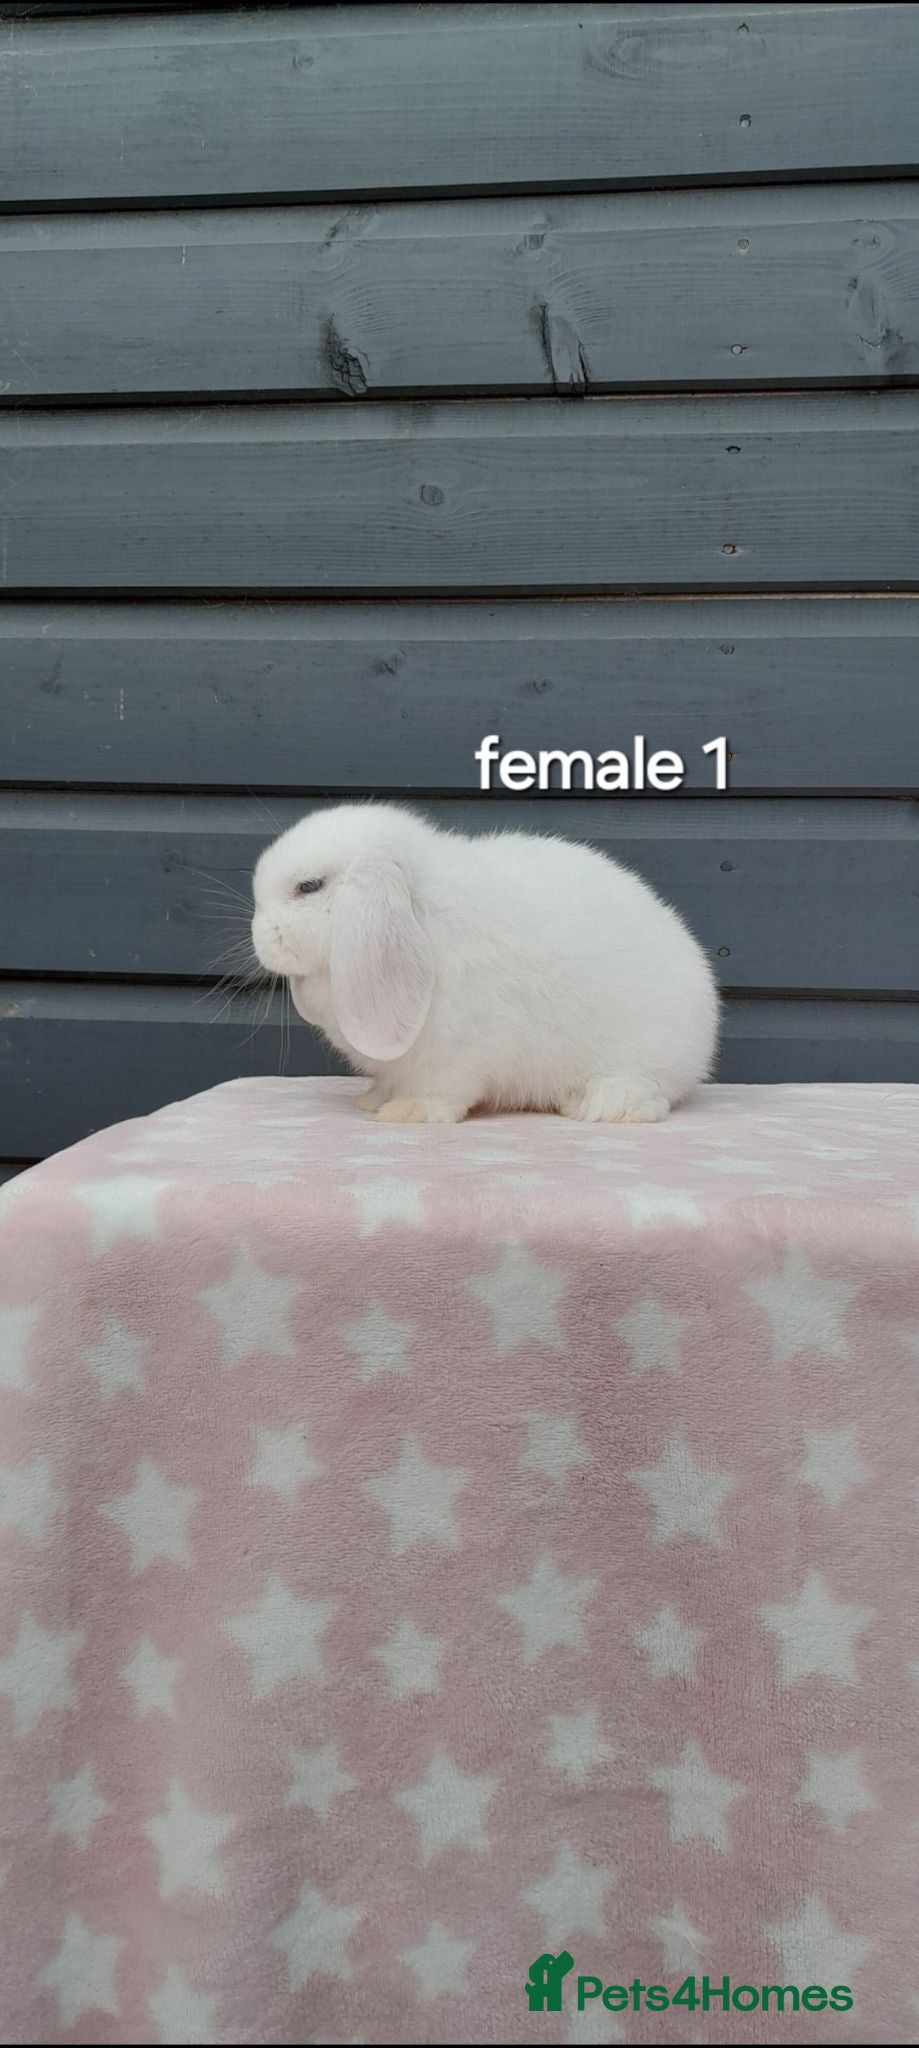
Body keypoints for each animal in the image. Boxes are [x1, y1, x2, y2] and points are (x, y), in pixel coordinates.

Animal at [250, 802, 719, 1124]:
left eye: (309, 886)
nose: (258, 937)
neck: (422, 913)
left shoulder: (457, 1051)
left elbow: (443, 1090)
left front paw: (407, 1111)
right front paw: (374, 1099)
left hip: (640, 1056)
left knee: (647, 1096)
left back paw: (598, 1103)